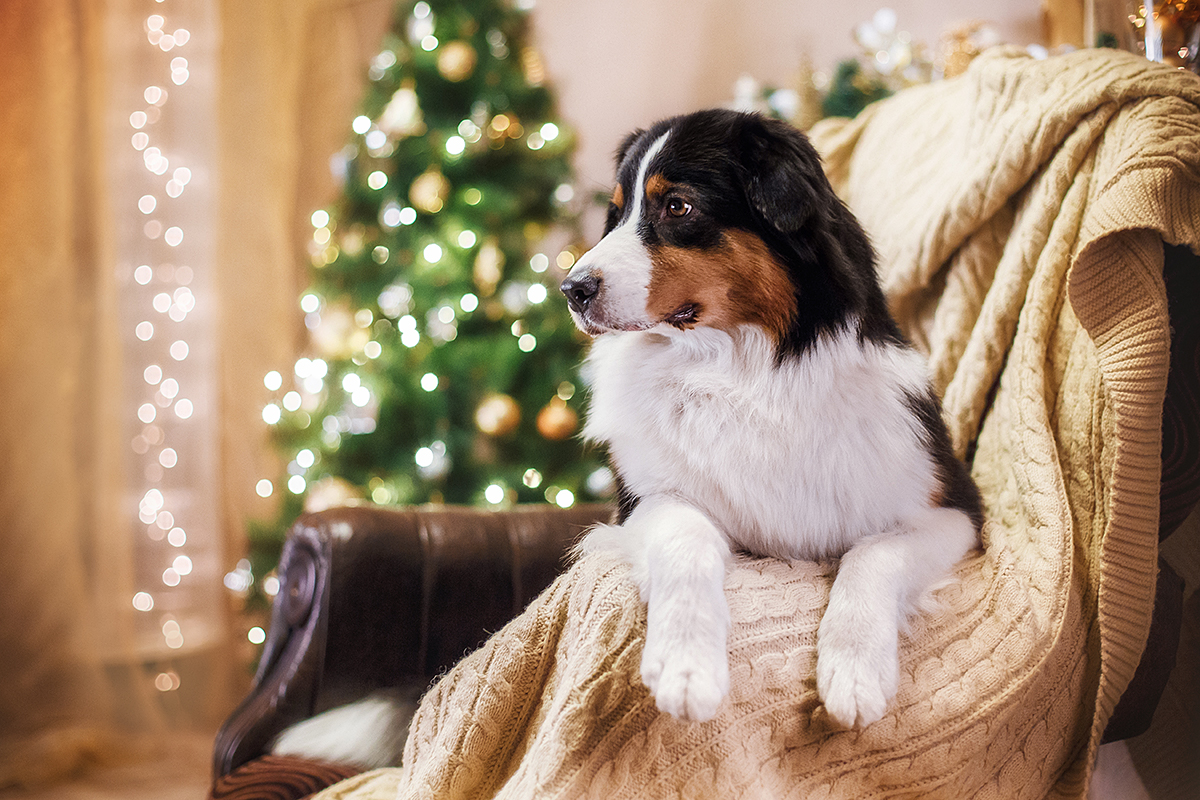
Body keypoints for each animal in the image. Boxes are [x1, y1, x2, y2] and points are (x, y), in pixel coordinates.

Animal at [556, 109, 979, 729]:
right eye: (618, 212)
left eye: (677, 207)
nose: (572, 289)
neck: (741, 372)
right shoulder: (647, 499)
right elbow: (687, 540)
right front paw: (686, 666)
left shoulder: (953, 510)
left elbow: (872, 552)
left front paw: (855, 671)